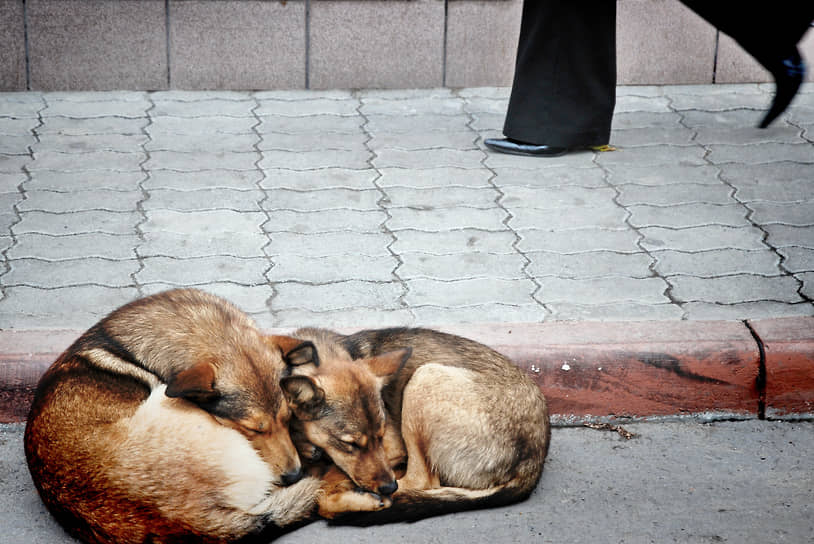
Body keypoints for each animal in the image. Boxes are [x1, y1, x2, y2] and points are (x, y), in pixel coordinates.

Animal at [282, 326, 556, 520]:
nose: (388, 486)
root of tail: (533, 462)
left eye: (381, 435)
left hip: (424, 378)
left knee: (421, 481)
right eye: (349, 444)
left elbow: (326, 489)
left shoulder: (392, 447)